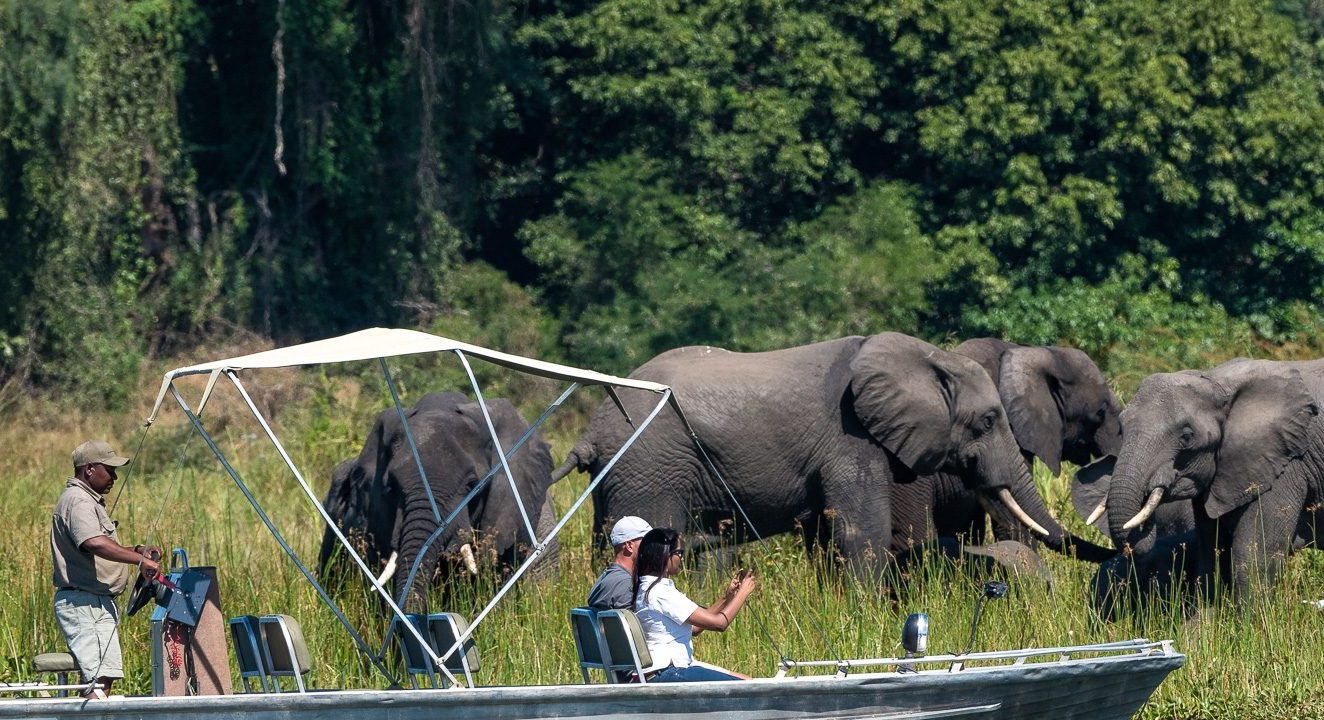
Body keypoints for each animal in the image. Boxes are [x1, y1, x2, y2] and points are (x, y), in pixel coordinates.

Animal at [1096, 357, 1324, 600]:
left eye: (1187, 437)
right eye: (1121, 429)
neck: (1216, 382)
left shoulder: (1287, 464)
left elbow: (1255, 555)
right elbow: (1212, 553)